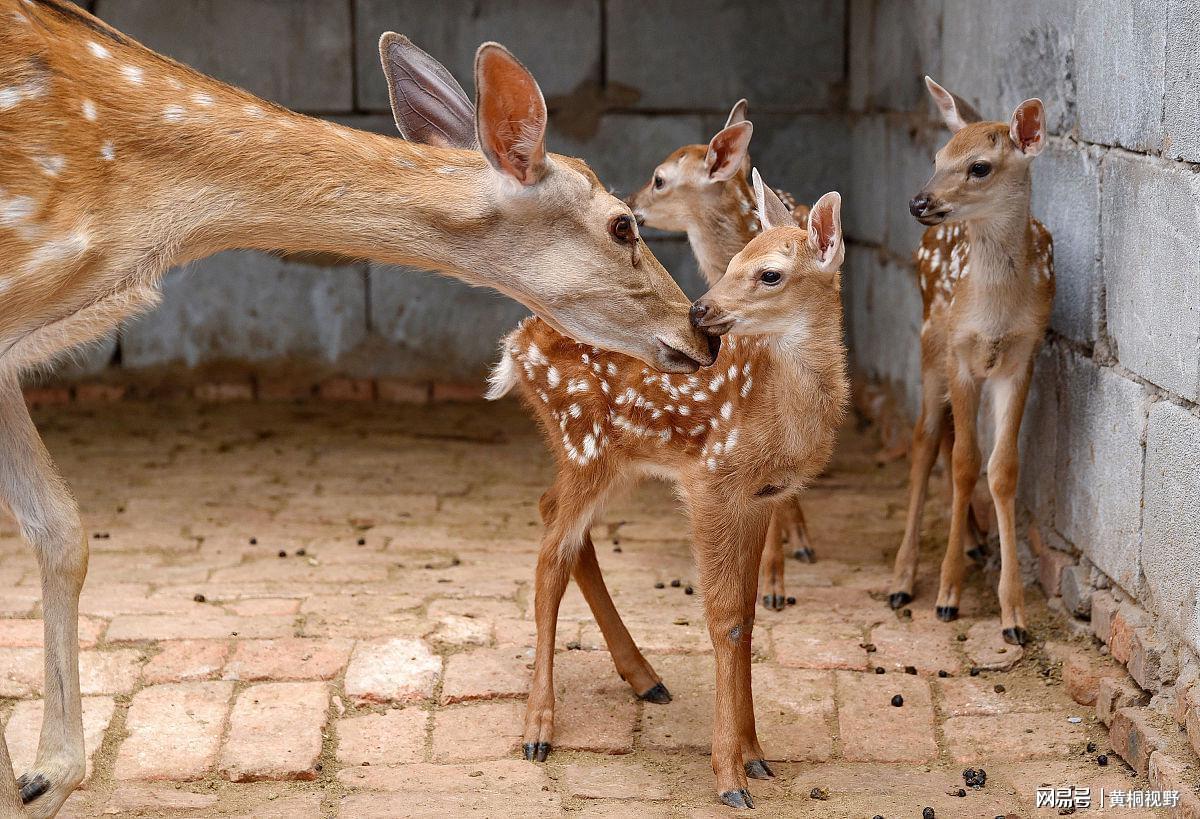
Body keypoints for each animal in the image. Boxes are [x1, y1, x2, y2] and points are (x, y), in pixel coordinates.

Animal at [492, 170, 849, 802]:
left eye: (769, 272)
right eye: (733, 259)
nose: (701, 310)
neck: (782, 415)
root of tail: (515, 347)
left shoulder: (760, 497)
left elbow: (747, 617)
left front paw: (757, 755)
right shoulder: (711, 480)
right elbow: (724, 618)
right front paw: (730, 775)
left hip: (613, 459)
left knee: (556, 520)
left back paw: (644, 678)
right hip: (583, 442)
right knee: (550, 557)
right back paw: (538, 730)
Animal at [888, 78, 1056, 643]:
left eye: (979, 166)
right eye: (938, 157)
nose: (918, 200)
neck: (995, 312)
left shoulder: (1022, 357)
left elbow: (1001, 468)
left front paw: (1014, 615)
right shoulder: (960, 353)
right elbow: (964, 462)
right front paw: (947, 593)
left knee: (943, 435)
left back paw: (977, 542)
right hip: (929, 341)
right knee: (924, 439)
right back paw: (903, 579)